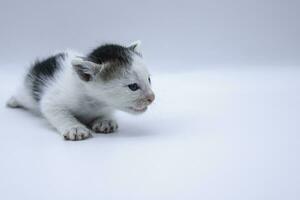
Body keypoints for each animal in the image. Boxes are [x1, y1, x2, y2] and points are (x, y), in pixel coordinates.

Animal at [6, 40, 155, 141]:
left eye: (149, 80)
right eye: (133, 87)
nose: (152, 97)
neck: (93, 100)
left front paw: (104, 120)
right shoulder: (52, 101)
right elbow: (57, 112)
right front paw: (74, 127)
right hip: (26, 91)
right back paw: (12, 101)